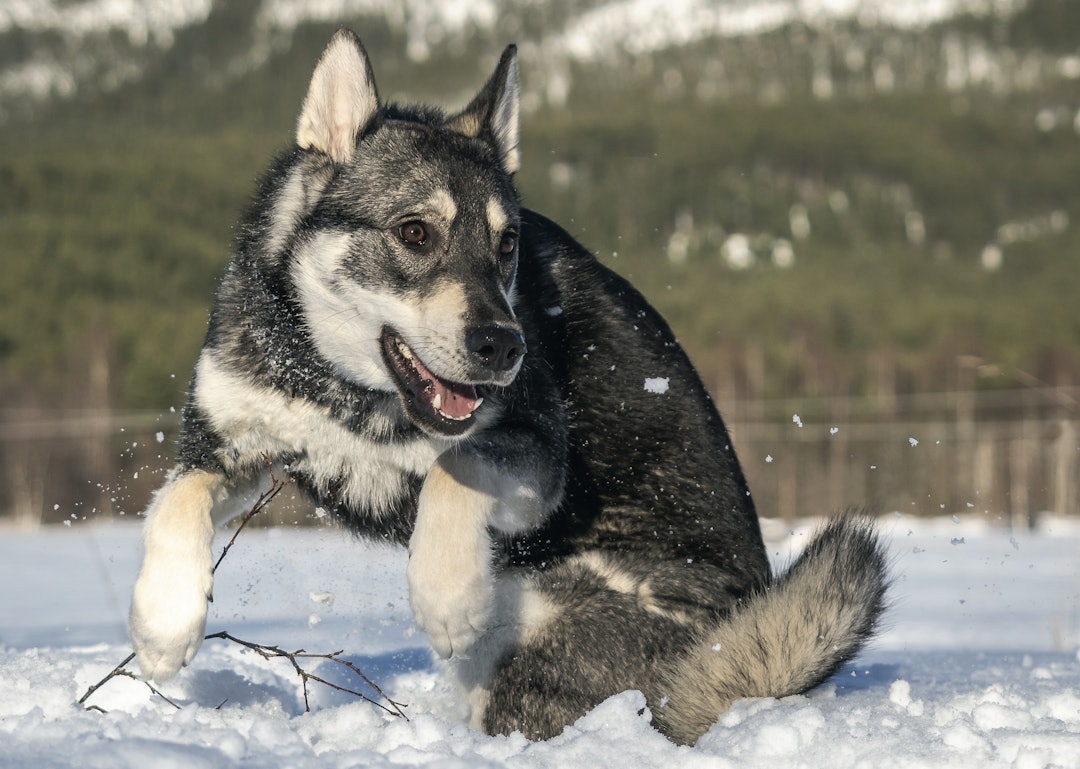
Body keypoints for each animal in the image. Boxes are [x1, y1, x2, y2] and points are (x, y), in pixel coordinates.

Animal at [128, 29, 885, 743]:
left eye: (507, 243)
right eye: (415, 232)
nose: (504, 347)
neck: (337, 384)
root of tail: (730, 668)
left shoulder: (537, 457)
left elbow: (455, 467)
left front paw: (446, 596)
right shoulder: (229, 446)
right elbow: (175, 500)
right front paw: (163, 621)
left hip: (547, 610)